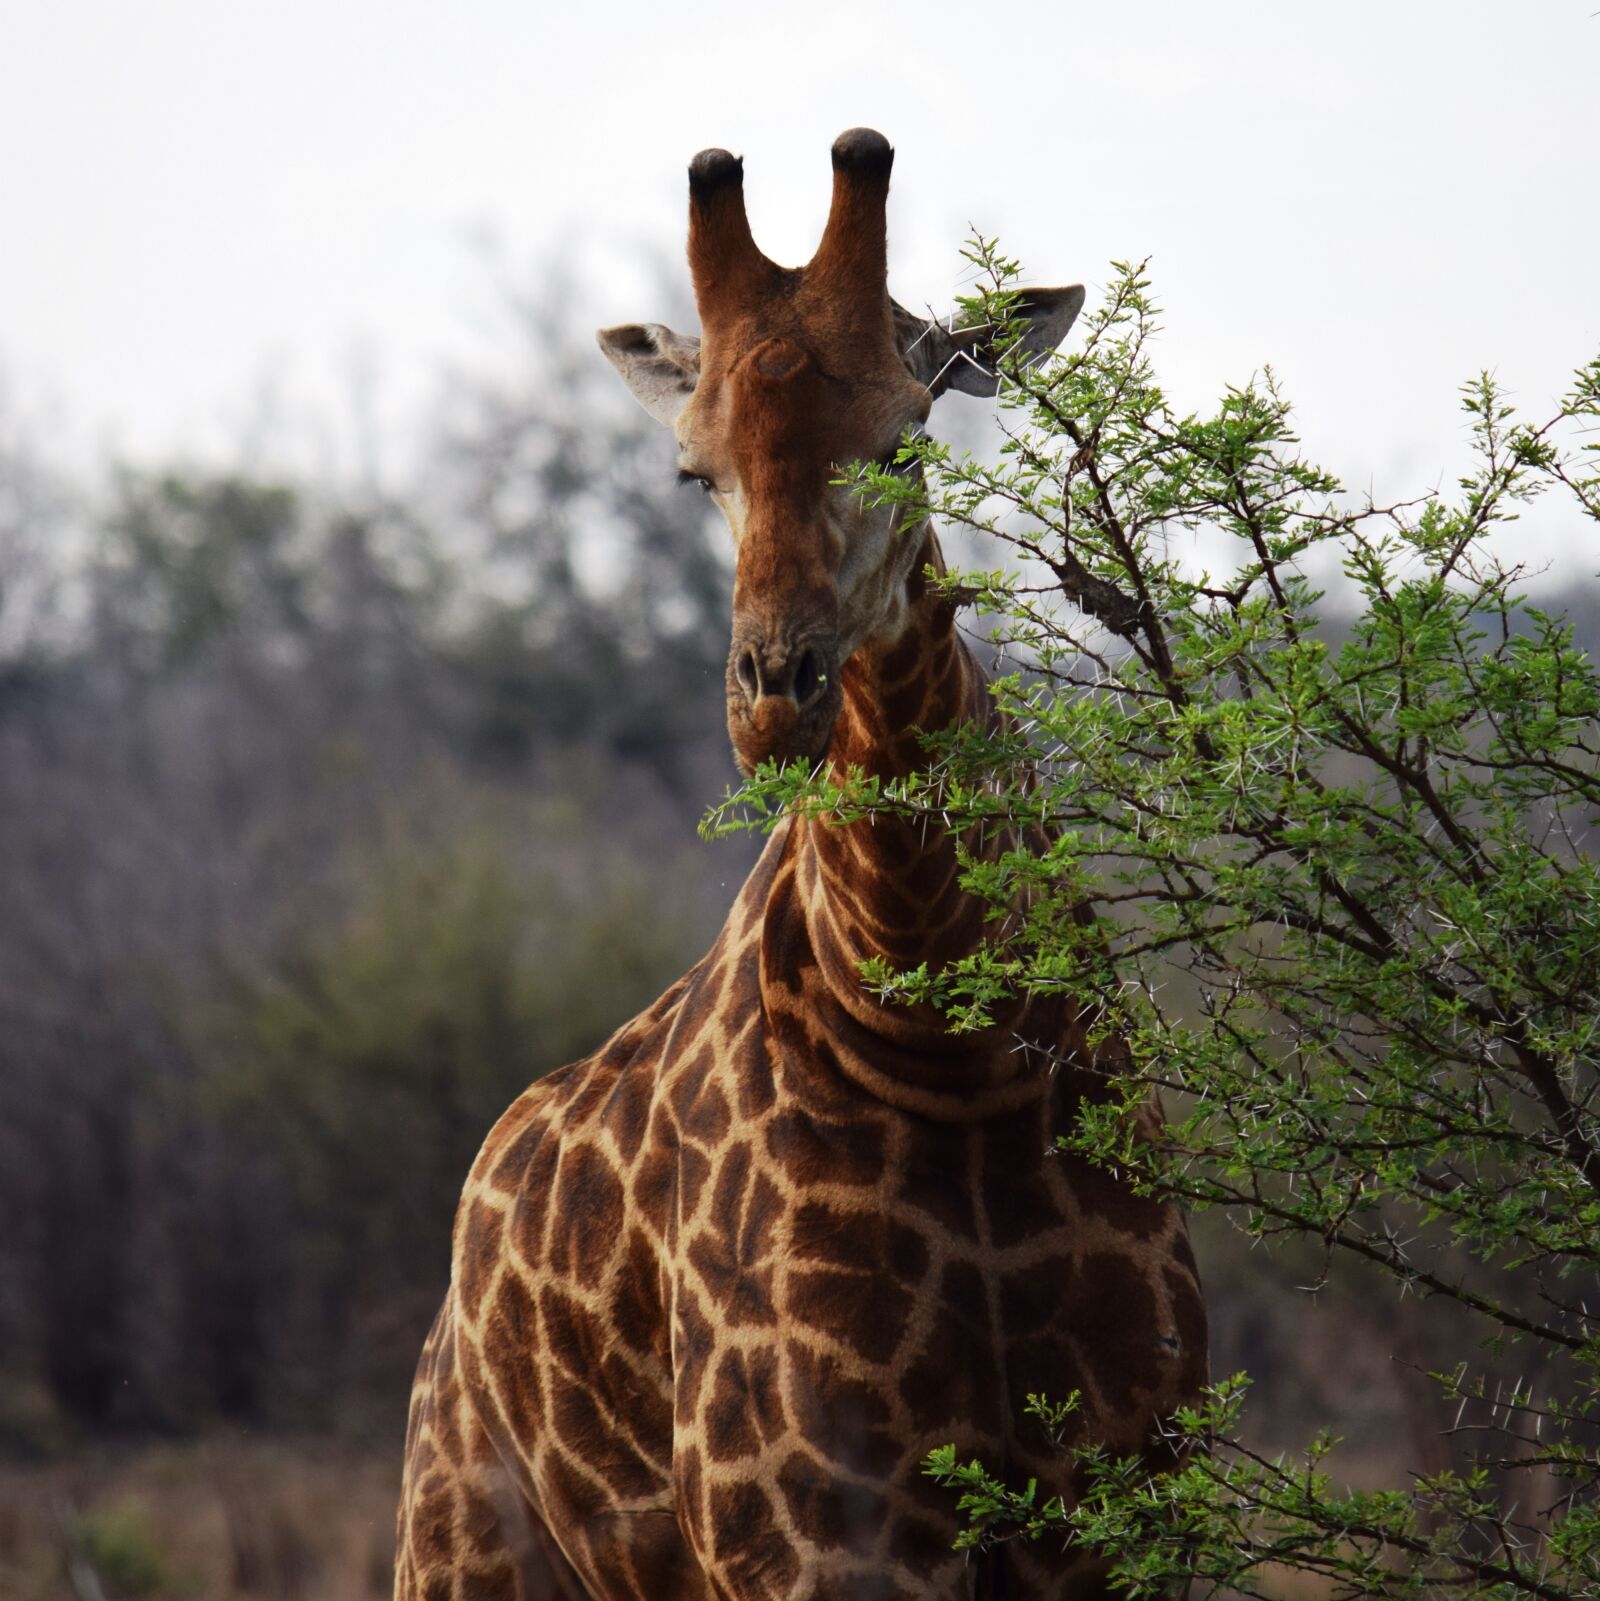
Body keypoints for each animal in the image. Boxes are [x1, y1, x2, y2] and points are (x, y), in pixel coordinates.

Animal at [394, 129, 1208, 1601]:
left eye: (905, 436)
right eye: (694, 472)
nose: (776, 696)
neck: (950, 1061)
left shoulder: (1133, 1506)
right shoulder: (818, 1539)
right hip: (460, 1548)